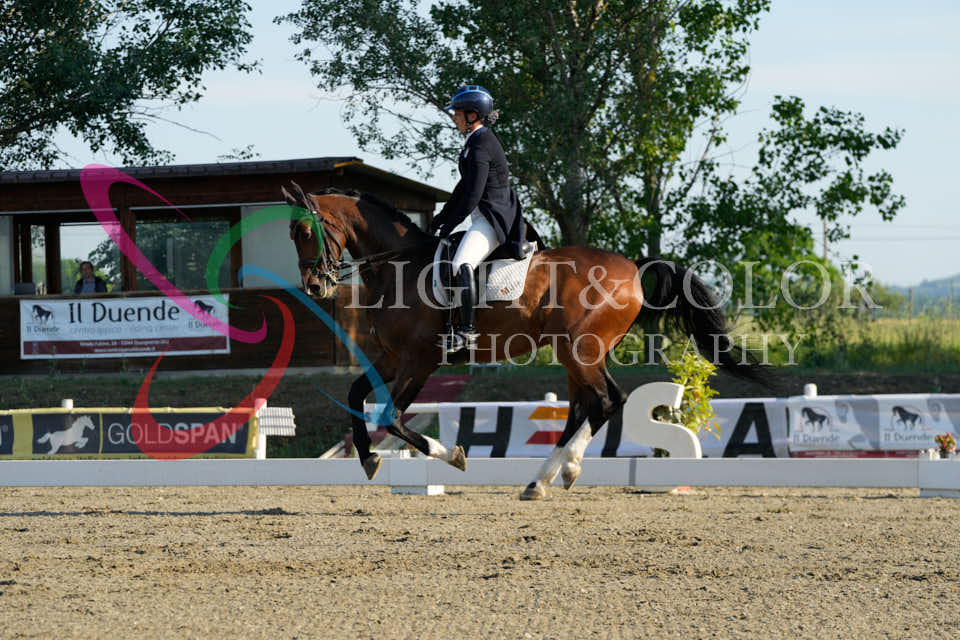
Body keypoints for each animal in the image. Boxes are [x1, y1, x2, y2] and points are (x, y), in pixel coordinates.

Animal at [285, 185, 763, 500]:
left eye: (305, 233)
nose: (314, 286)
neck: (401, 268)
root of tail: (631, 267)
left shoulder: (419, 362)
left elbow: (392, 416)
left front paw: (452, 455)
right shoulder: (391, 359)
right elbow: (355, 395)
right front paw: (368, 458)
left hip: (579, 349)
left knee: (609, 400)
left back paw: (562, 470)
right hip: (576, 354)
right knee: (584, 408)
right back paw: (544, 479)